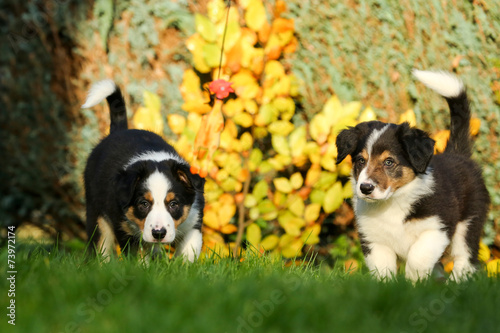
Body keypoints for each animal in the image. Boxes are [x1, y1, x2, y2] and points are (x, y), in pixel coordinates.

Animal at [83, 79, 204, 260]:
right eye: (144, 204)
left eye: (174, 204)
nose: (159, 233)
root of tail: (118, 131)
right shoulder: (124, 229)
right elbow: (139, 257)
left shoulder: (193, 220)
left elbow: (188, 251)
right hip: (96, 213)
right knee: (101, 247)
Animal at [334, 70, 490, 280]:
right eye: (360, 160)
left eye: (389, 162)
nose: (365, 188)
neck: (393, 203)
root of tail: (457, 154)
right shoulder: (375, 241)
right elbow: (383, 271)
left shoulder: (437, 229)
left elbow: (417, 258)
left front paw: (414, 283)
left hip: (468, 224)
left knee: (465, 259)